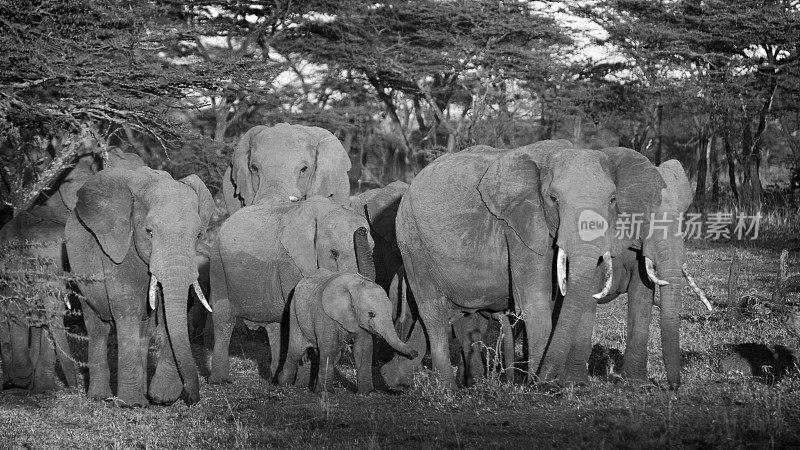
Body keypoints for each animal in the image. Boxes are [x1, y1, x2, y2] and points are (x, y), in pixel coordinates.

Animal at [209, 196, 378, 384]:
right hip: (217, 262)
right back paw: (220, 380)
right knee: (224, 317)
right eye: (334, 253)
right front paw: (303, 383)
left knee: (275, 325)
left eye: (373, 249)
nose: (362, 230)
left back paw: (274, 379)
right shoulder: (289, 263)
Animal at [278, 268, 418, 392]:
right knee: (296, 351)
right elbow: (328, 348)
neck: (355, 286)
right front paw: (325, 392)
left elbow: (363, 348)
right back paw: (283, 385)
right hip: (294, 313)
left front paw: (368, 392)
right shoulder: (324, 313)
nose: (415, 353)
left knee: (332, 354)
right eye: (371, 314)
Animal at [392, 140, 664, 386]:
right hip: (411, 243)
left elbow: (571, 302)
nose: (545, 381)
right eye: (553, 199)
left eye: (612, 200)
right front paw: (543, 387)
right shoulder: (519, 228)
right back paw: (448, 390)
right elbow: (537, 302)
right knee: (433, 315)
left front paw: (560, 385)